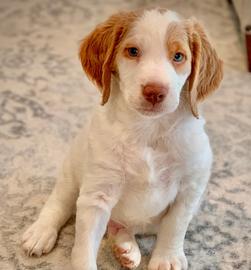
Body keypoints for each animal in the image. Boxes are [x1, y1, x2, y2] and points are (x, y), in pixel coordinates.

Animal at [21, 7, 223, 268]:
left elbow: (174, 226)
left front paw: (166, 258)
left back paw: (125, 247)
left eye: (178, 56)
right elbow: (84, 249)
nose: (155, 92)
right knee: (59, 202)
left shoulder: (190, 188)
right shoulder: (97, 196)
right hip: (72, 172)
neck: (148, 130)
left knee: (122, 226)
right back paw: (41, 232)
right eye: (133, 51)